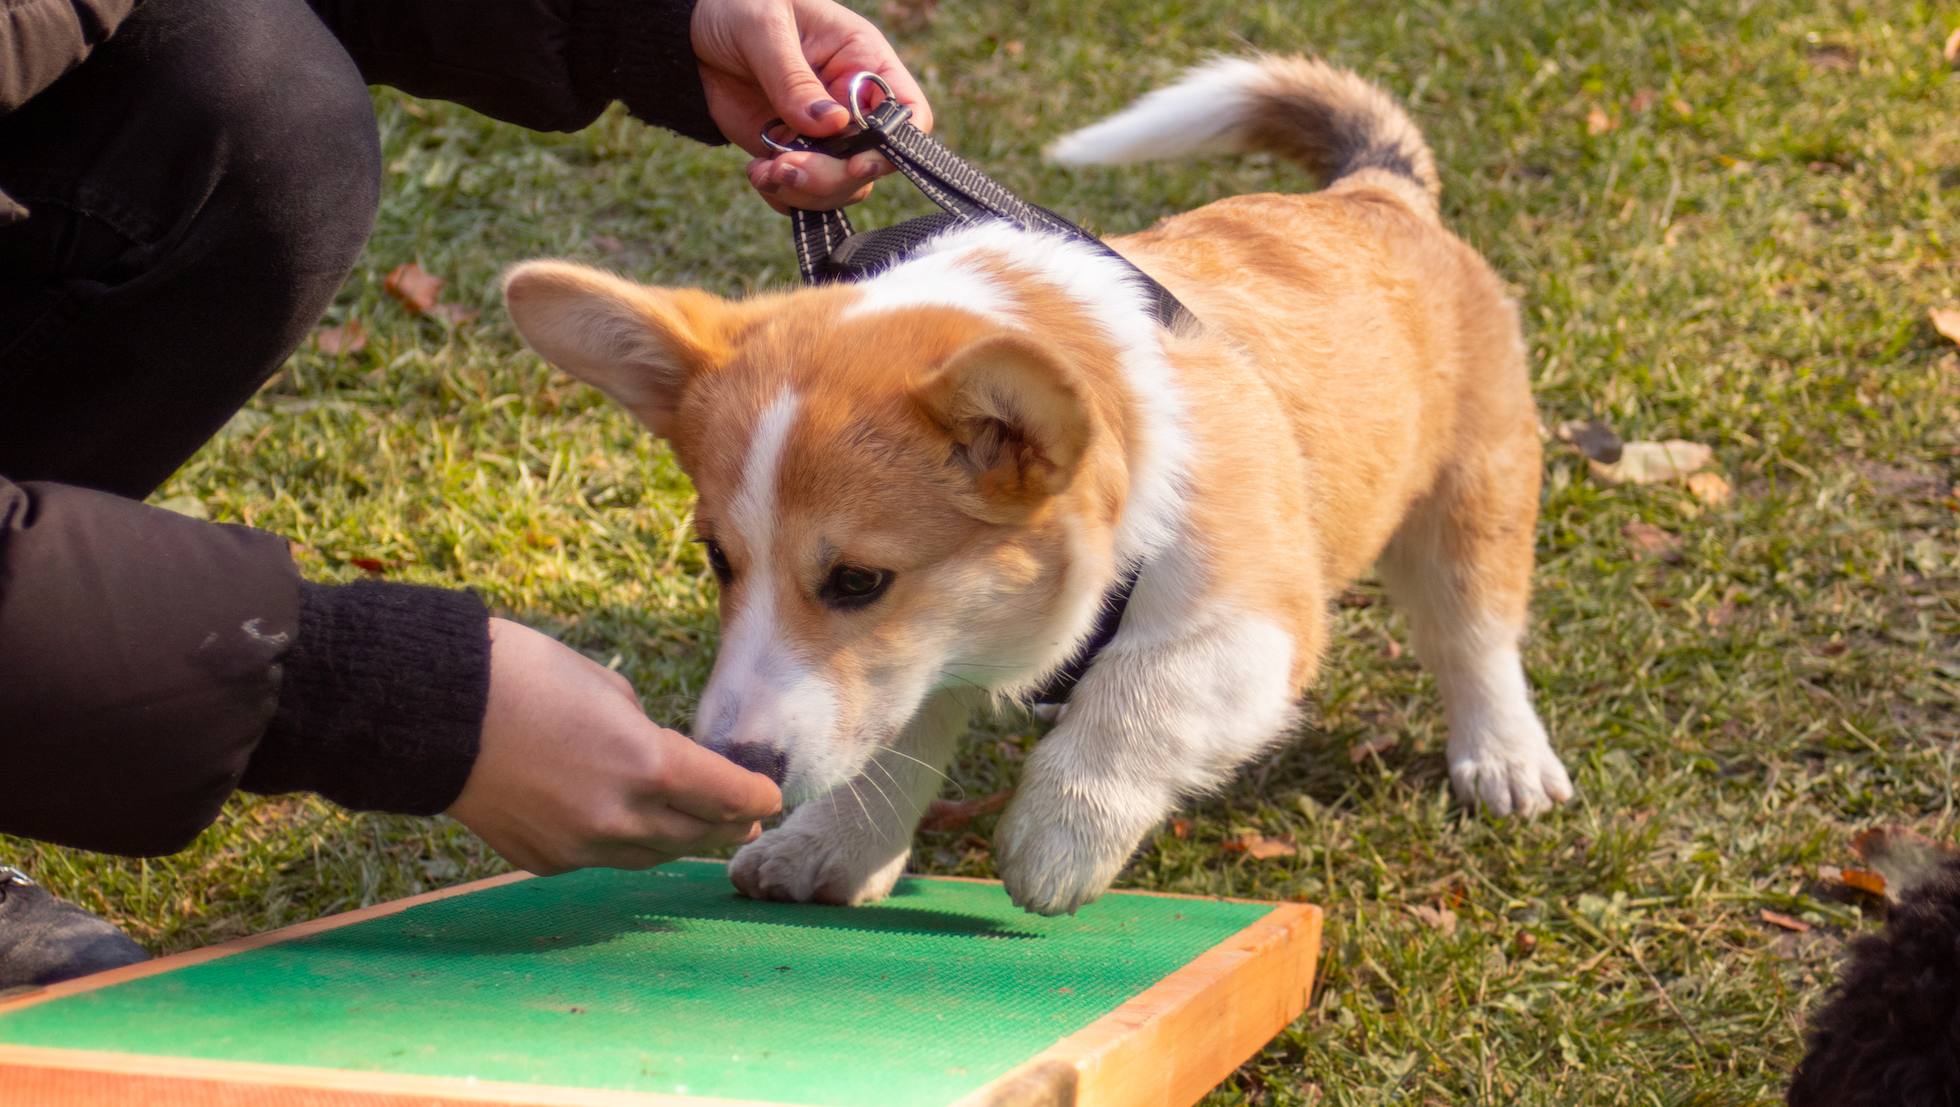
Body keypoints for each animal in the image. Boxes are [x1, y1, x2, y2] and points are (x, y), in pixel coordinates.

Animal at [505, 53, 1575, 916]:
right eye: (718, 560)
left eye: (856, 581)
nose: (738, 766)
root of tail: (1376, 192)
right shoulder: (923, 652)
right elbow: (890, 738)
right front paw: (832, 843)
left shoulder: (1256, 626)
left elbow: (1143, 697)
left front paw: (1059, 838)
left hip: (1473, 497)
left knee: (1474, 634)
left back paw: (1505, 756)